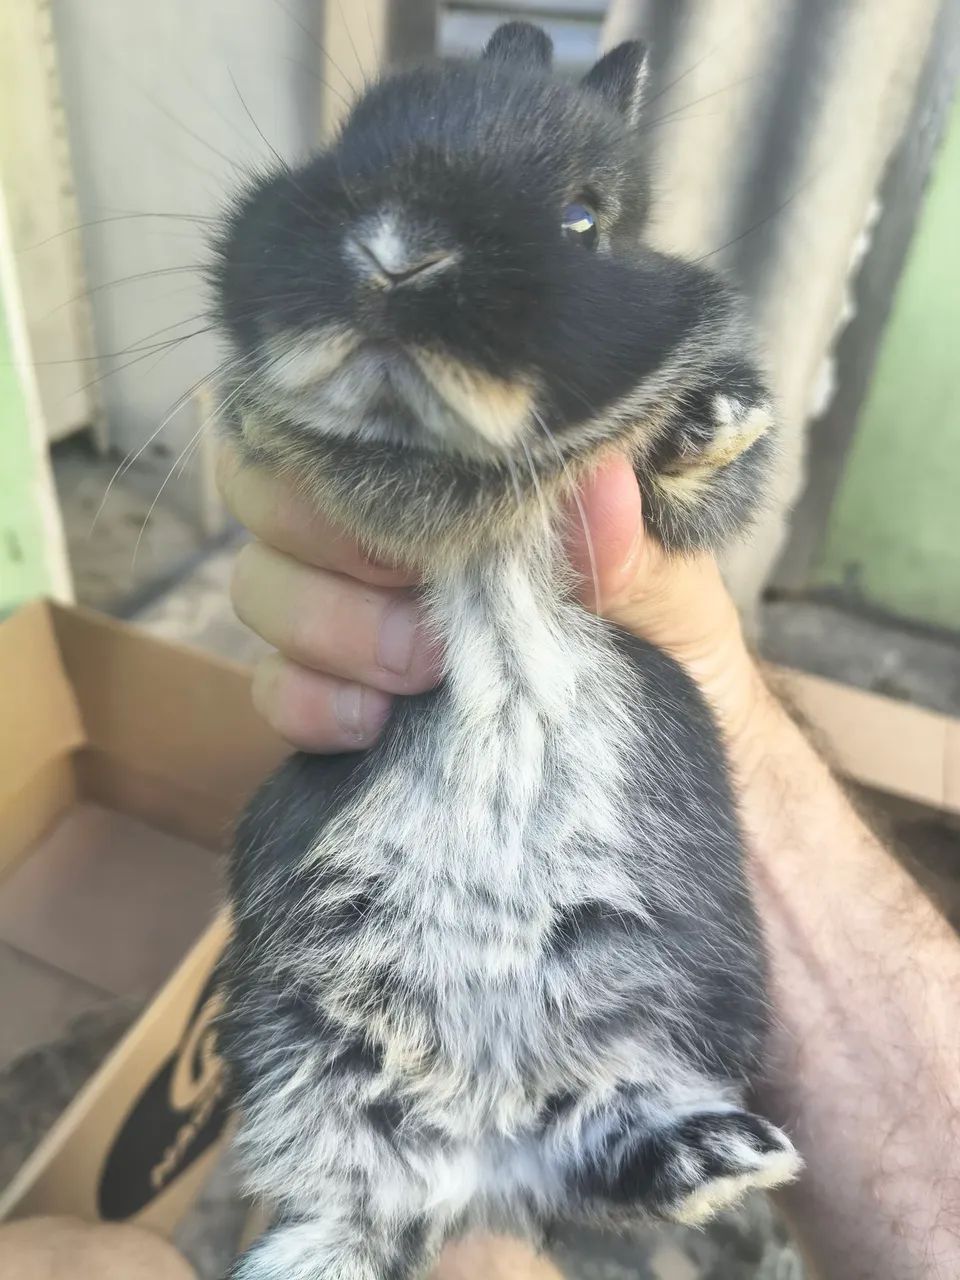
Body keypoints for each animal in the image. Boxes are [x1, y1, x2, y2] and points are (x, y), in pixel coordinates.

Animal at [212, 21, 801, 1280]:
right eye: (349, 137)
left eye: (585, 218)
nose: (395, 254)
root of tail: (476, 1153)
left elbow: (699, 485)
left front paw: (718, 420)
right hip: (301, 1062)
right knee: (346, 1205)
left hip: (648, 1029)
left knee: (604, 1141)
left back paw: (724, 1156)